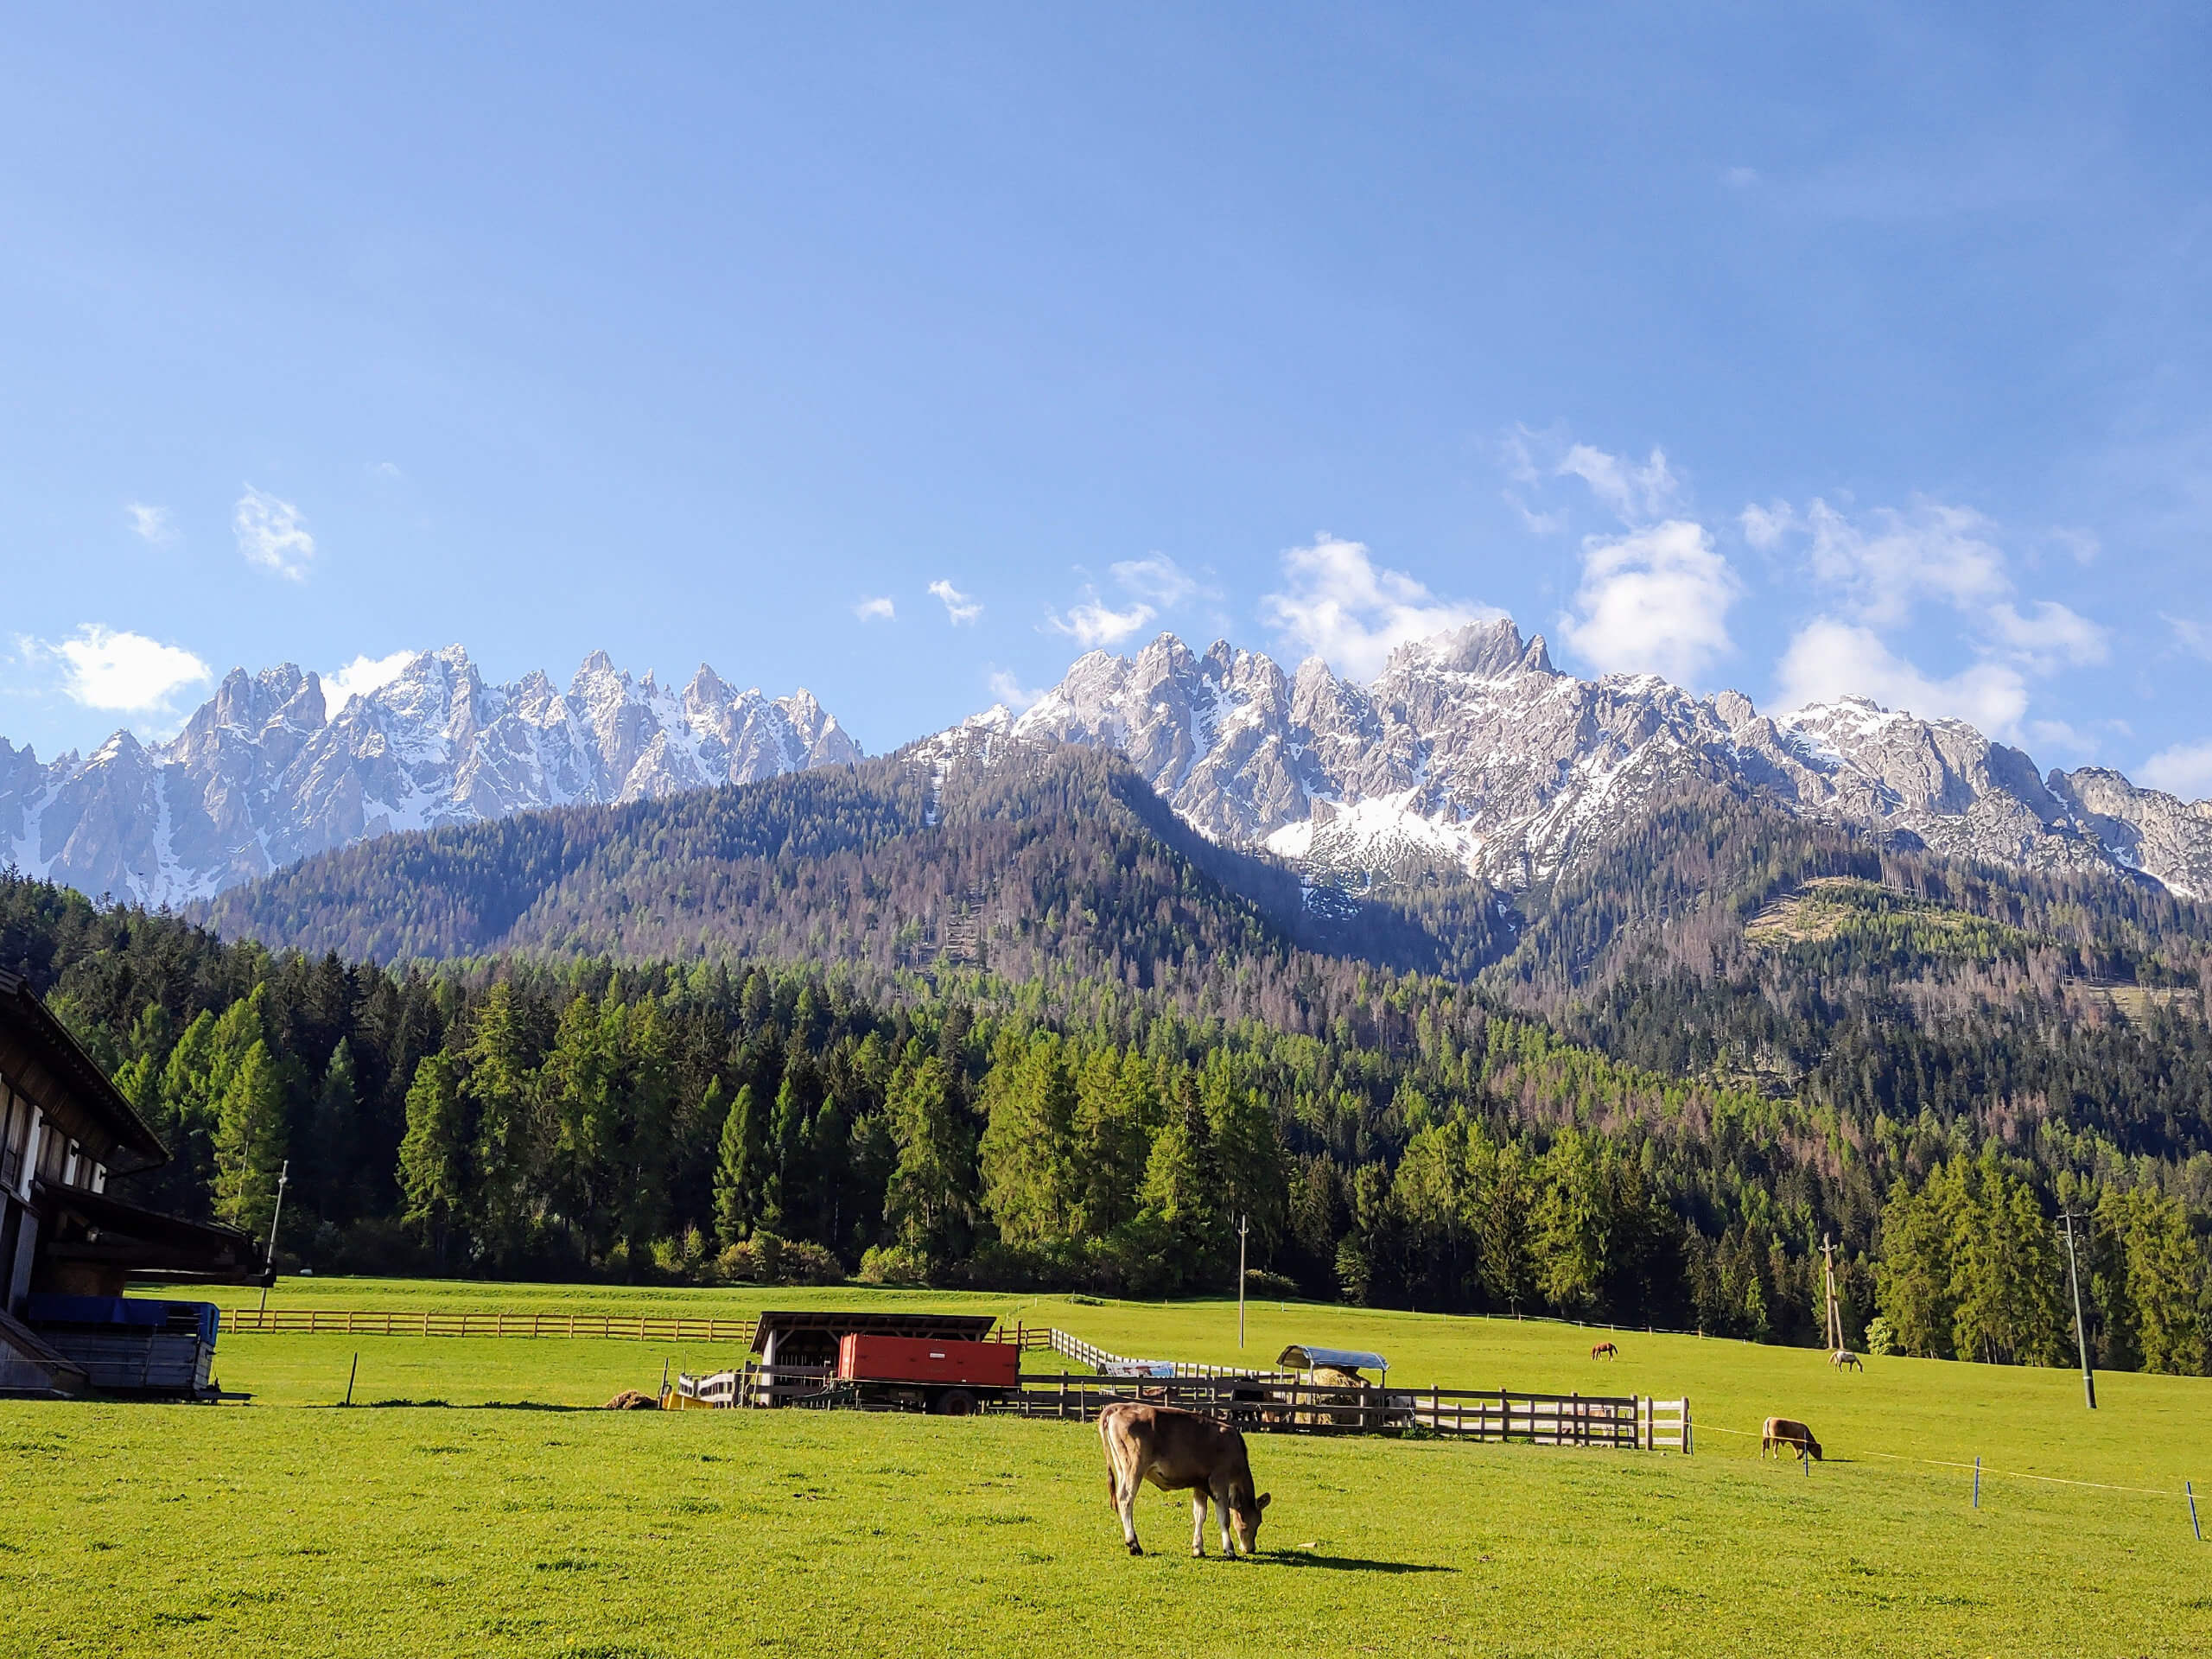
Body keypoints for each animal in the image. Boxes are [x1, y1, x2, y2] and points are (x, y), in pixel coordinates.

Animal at [1096, 1407, 1274, 1557]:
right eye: (1258, 1522)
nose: (1251, 1548)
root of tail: (1120, 1407)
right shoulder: (1219, 1480)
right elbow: (1224, 1517)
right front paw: (1229, 1549)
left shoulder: (1200, 1485)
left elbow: (1200, 1515)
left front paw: (1198, 1548)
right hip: (1134, 1468)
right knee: (1126, 1500)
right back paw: (1134, 1544)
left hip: (1122, 1468)